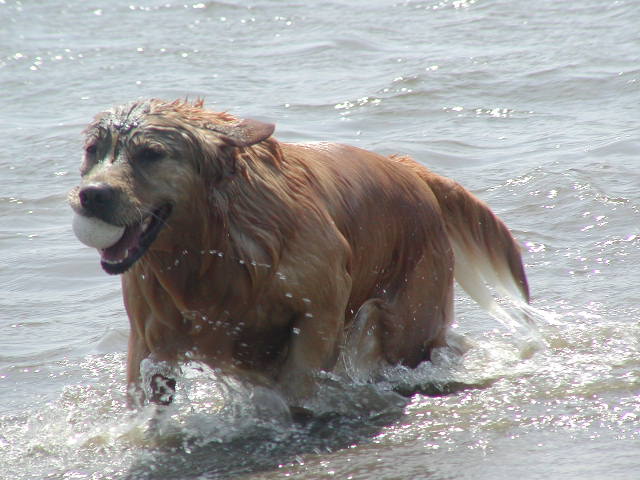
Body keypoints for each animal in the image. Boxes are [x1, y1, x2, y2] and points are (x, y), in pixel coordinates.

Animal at [70, 99, 528, 406]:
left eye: (151, 153)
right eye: (93, 150)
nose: (91, 195)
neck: (213, 251)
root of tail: (408, 169)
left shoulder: (318, 316)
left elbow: (298, 389)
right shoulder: (149, 339)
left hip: (408, 323)